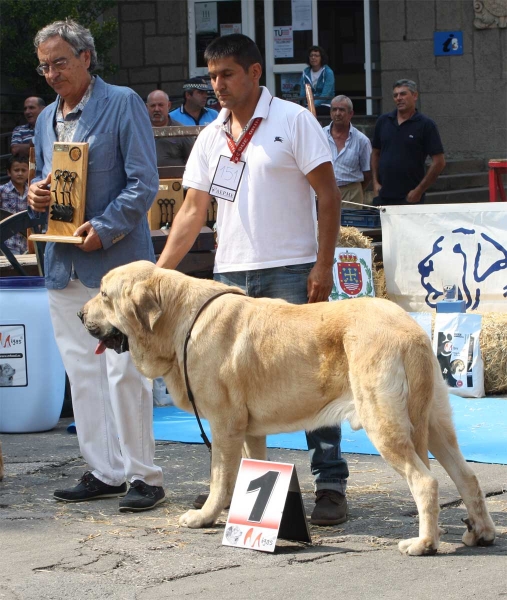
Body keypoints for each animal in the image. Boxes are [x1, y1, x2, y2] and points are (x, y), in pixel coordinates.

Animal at [81, 260, 498, 556]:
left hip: (385, 424)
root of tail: (410, 330)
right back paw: (481, 533)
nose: (81, 315)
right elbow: (243, 472)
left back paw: (423, 544)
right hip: (435, 423)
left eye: (103, 294)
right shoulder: (250, 431)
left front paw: (205, 516)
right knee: (467, 478)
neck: (180, 319)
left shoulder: (224, 425)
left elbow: (219, 477)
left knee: (426, 482)